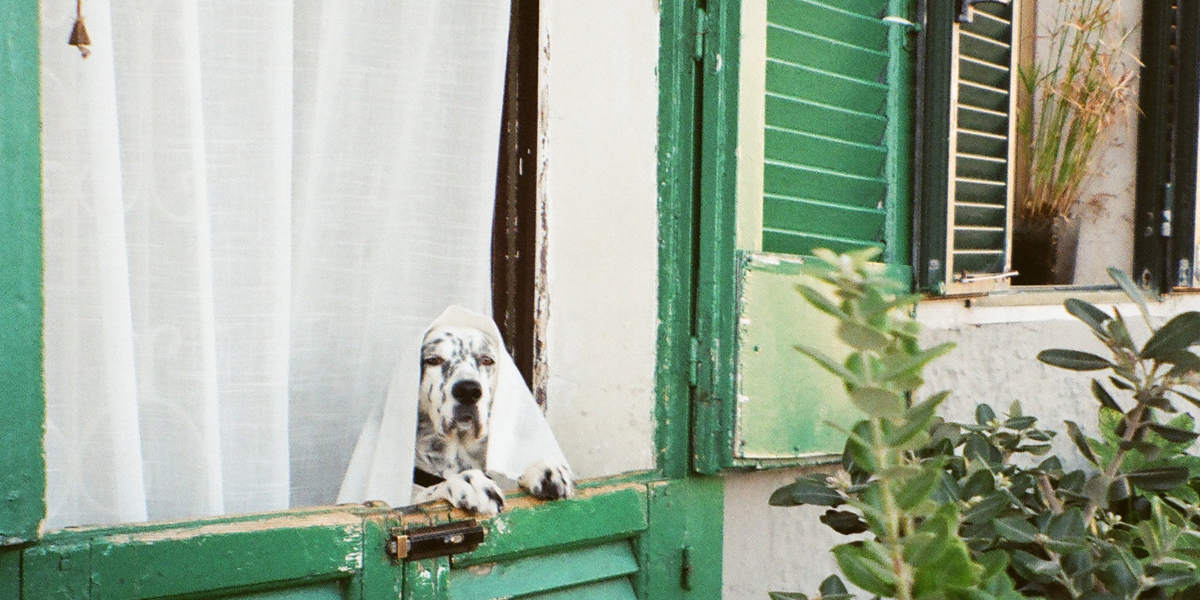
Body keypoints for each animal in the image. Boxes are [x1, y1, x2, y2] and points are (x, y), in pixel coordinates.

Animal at [410, 324, 573, 516]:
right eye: (433, 360)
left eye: (486, 360)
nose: (468, 390)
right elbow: (423, 495)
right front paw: (466, 482)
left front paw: (543, 469)